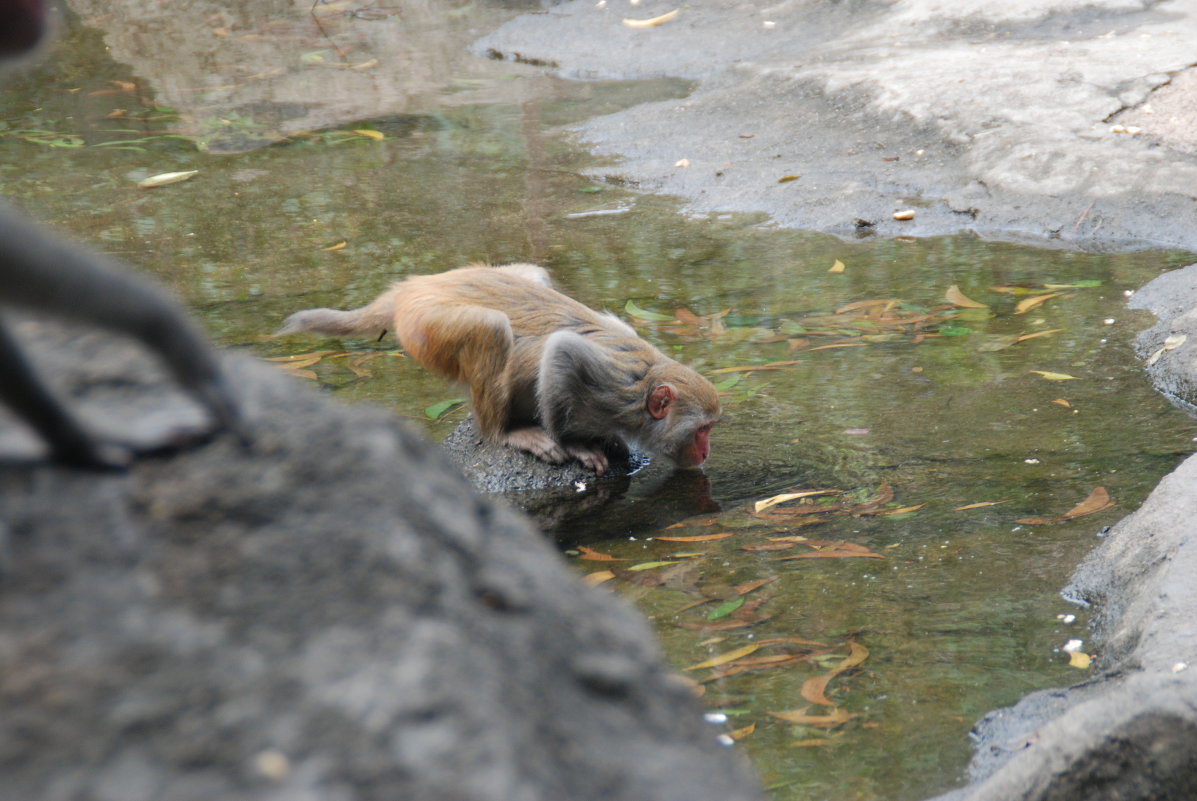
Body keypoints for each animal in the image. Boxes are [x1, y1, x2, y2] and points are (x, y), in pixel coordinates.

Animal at [277, 265, 718, 471]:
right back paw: (503, 432)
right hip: (425, 327)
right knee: (489, 330)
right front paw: (576, 444)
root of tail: (412, 287)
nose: (707, 451)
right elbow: (561, 353)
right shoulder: (612, 386)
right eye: (703, 430)